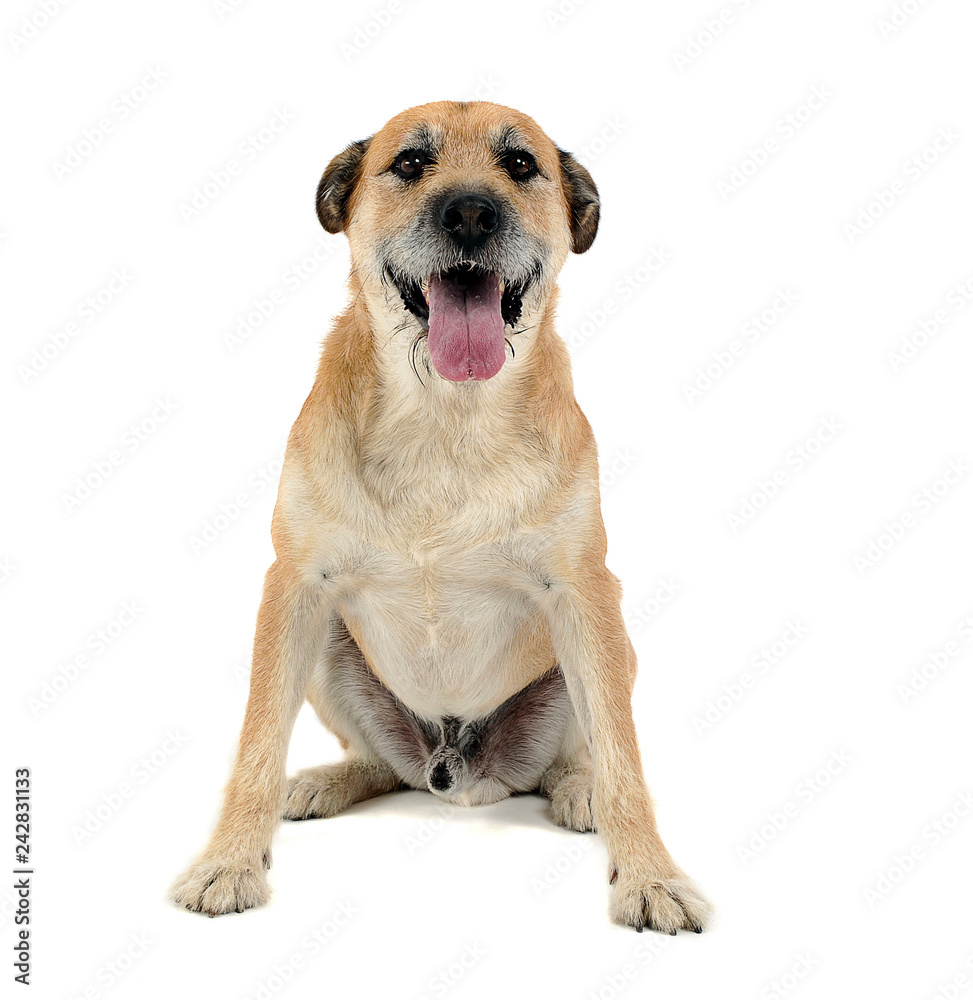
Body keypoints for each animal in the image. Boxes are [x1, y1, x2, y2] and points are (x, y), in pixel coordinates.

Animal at [171, 97, 712, 932]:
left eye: (520, 165)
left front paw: (649, 876)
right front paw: (228, 860)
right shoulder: (294, 586)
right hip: (328, 645)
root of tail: (458, 763)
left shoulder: (584, 593)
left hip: (606, 652)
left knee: (579, 755)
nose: (469, 213)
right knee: (380, 765)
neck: (444, 417)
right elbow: (256, 744)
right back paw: (327, 780)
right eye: (410, 163)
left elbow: (625, 760)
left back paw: (575, 790)